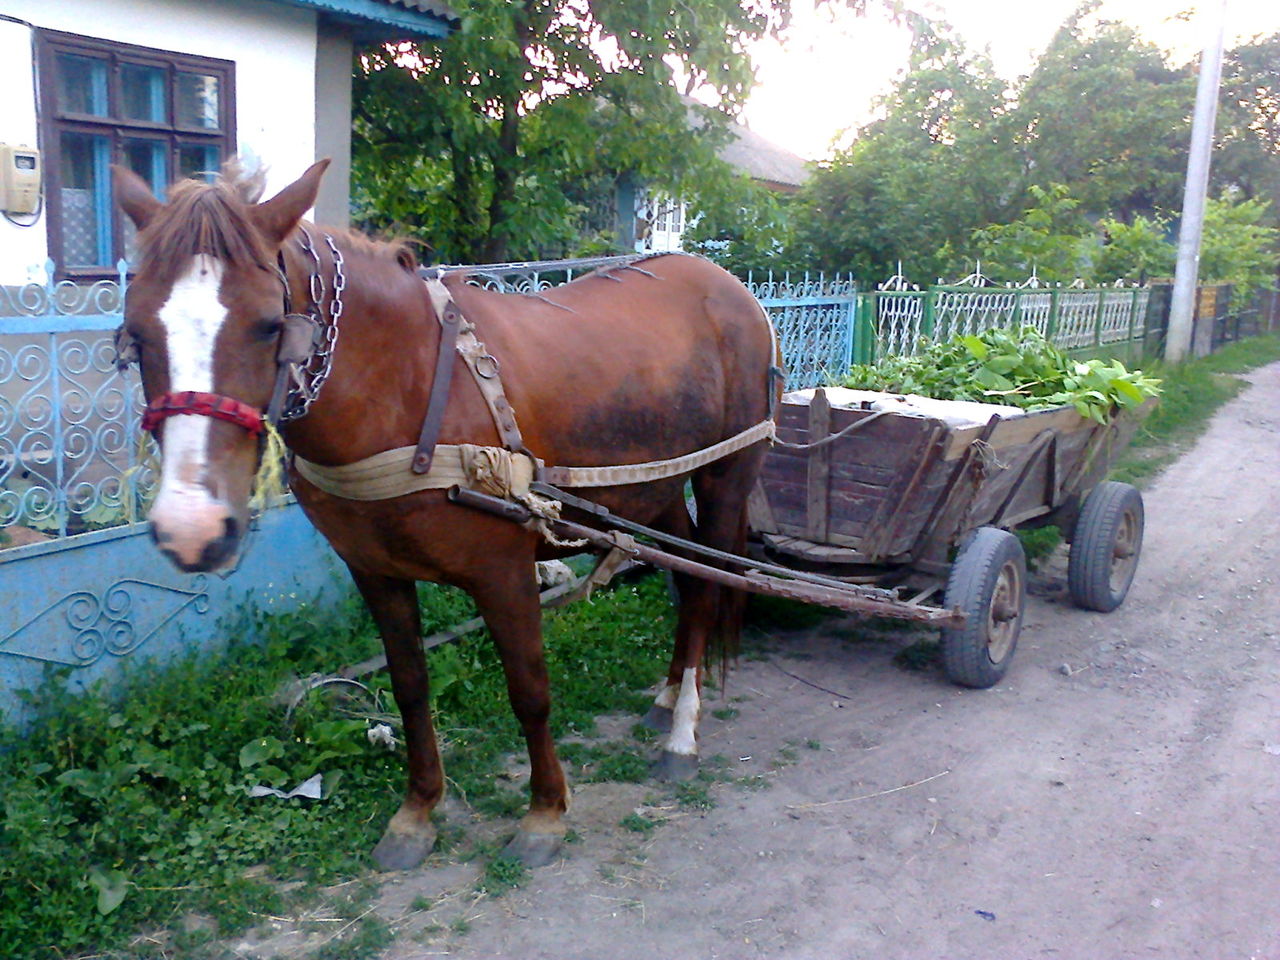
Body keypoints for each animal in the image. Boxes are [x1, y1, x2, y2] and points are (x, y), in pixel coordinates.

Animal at [117, 160, 778, 870]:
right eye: (135, 330)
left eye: (269, 324)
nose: (191, 529)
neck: (405, 392)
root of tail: (730, 287)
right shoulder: (375, 573)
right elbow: (409, 688)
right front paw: (418, 812)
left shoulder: (504, 572)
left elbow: (529, 689)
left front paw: (545, 812)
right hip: (653, 491)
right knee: (683, 573)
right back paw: (666, 697)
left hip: (724, 479)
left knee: (706, 586)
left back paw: (682, 731)